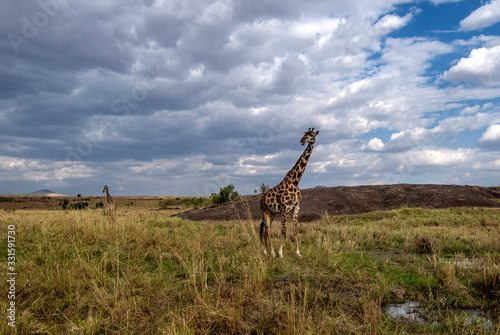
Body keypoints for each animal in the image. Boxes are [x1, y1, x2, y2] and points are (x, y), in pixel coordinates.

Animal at [260, 127, 318, 258]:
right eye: (305, 134)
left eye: (312, 135)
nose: (302, 140)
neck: (295, 181)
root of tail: (261, 199)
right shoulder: (285, 208)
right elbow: (283, 230)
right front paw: (280, 253)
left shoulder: (296, 207)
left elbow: (295, 230)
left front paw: (298, 253)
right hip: (264, 211)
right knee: (268, 229)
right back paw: (272, 252)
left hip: (272, 213)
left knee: (265, 228)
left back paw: (265, 252)